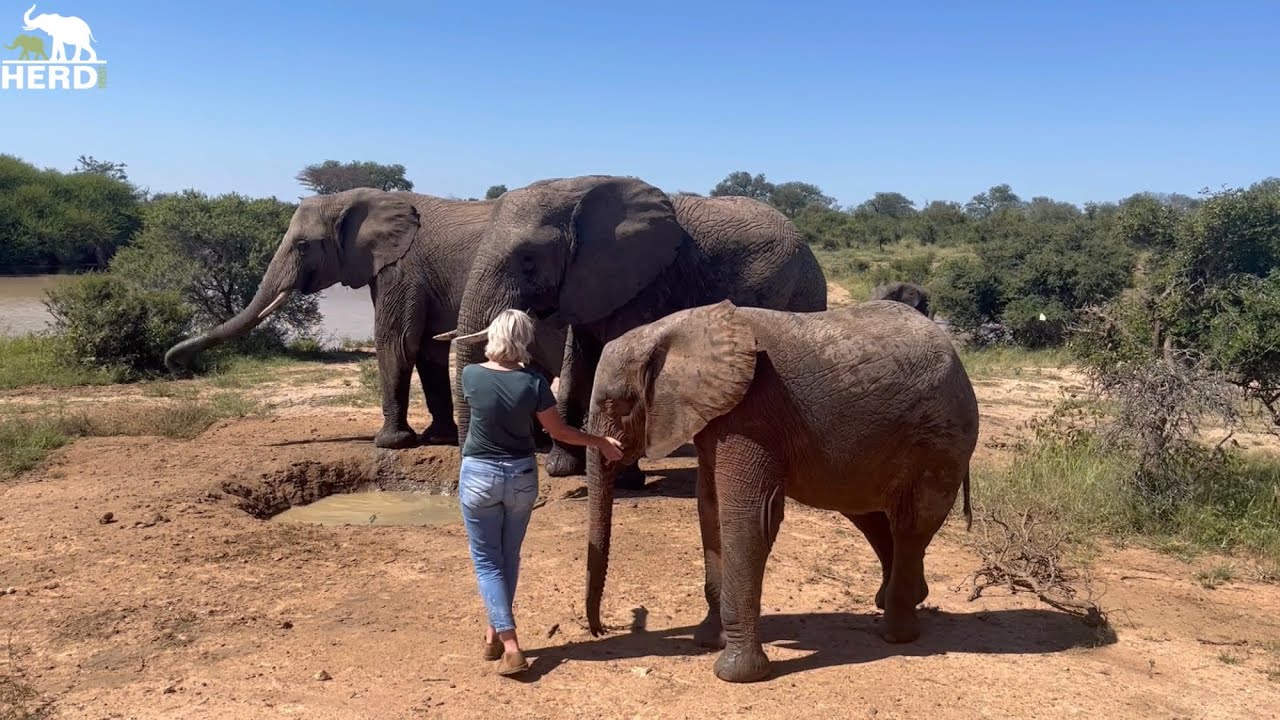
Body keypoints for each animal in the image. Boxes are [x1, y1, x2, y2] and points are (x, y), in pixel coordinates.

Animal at [164, 188, 566, 450]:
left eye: (302, 246)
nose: (177, 366)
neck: (356, 199)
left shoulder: (402, 268)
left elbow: (397, 341)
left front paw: (390, 443)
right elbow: (427, 349)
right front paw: (437, 438)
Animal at [437, 175, 828, 490]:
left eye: (528, 259)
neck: (577, 190)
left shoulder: (647, 284)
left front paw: (624, 479)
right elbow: (576, 360)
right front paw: (562, 468)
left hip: (801, 293)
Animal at [582, 300, 980, 683]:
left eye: (616, 404)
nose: (601, 630)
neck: (677, 329)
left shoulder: (753, 413)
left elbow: (750, 521)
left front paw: (736, 675)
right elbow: (710, 513)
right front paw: (708, 641)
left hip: (939, 440)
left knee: (910, 525)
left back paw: (898, 633)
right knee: (868, 516)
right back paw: (904, 599)